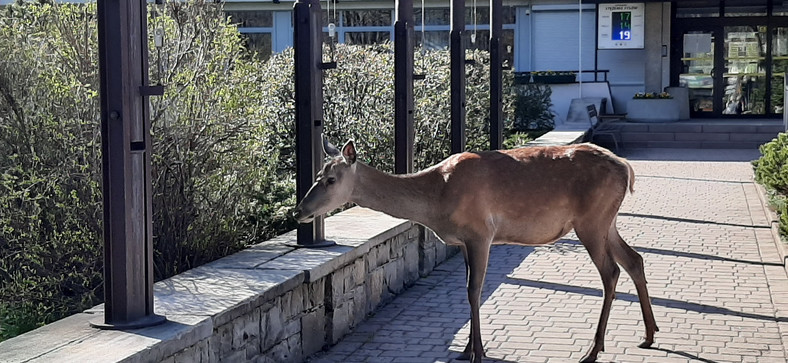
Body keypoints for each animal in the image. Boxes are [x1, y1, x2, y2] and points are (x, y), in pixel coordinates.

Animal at [296, 138, 660, 362]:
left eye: (330, 179)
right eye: (316, 174)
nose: (299, 211)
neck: (436, 200)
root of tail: (626, 167)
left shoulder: (481, 233)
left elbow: (475, 290)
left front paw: (477, 352)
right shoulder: (464, 242)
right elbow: (467, 289)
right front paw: (468, 348)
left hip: (592, 220)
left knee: (611, 271)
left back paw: (594, 349)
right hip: (606, 221)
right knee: (635, 260)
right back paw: (649, 335)